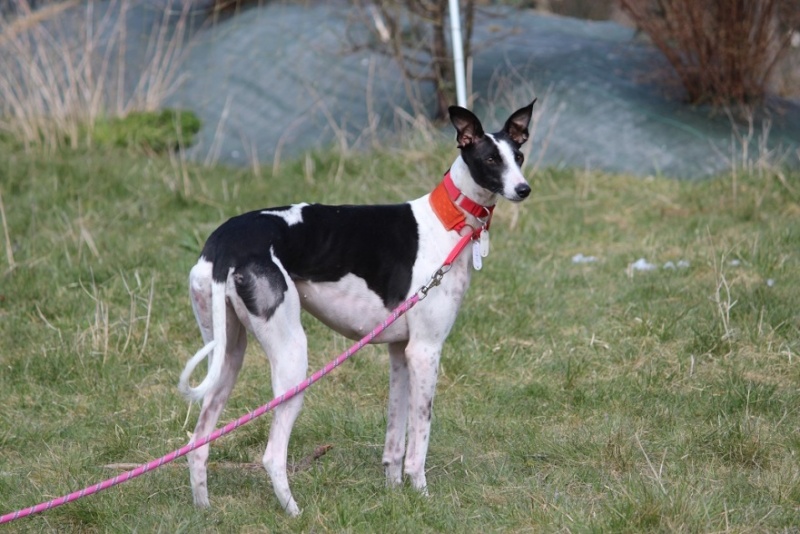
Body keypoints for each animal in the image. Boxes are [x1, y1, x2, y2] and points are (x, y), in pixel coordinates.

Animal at [178, 99, 536, 516]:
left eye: (519, 156)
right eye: (491, 159)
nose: (524, 189)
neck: (447, 221)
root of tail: (224, 245)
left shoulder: (400, 353)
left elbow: (395, 440)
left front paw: (395, 495)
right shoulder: (425, 351)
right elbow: (420, 439)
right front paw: (422, 495)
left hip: (226, 355)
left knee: (196, 444)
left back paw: (204, 509)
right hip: (292, 358)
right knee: (272, 454)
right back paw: (294, 512)